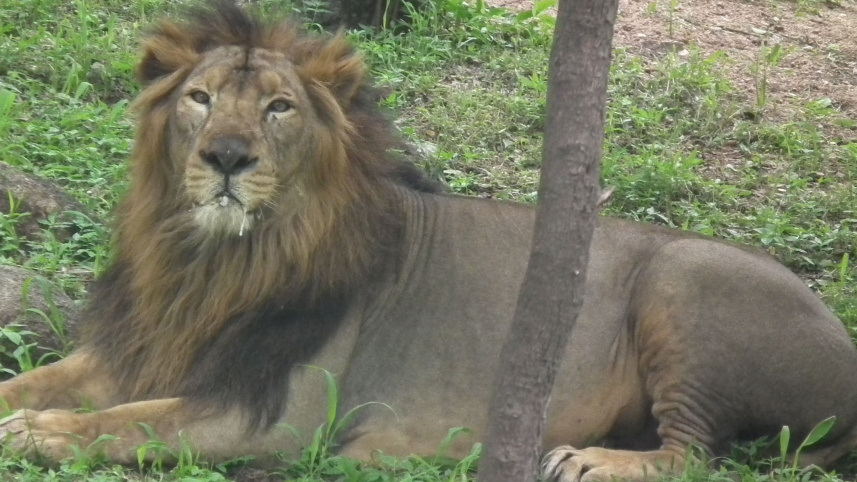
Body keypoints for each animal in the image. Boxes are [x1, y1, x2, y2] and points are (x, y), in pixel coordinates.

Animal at [1, 2, 856, 481]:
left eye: (279, 107)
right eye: (200, 99)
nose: (228, 157)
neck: (208, 263)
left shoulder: (276, 414)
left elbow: (131, 423)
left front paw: (38, 434)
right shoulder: (141, 351)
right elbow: (41, 382)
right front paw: (25, 412)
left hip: (684, 274)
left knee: (695, 453)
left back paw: (589, 460)